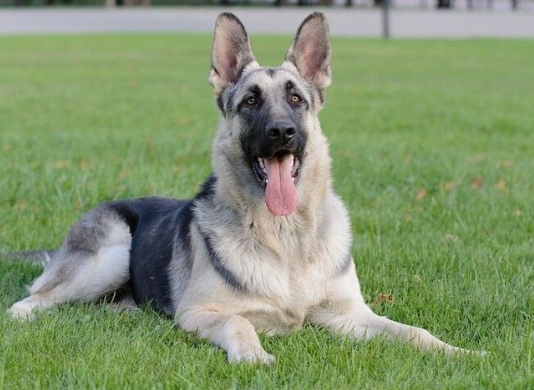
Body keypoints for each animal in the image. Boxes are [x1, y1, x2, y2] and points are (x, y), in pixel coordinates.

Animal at [6, 12, 472, 366]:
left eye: (296, 99)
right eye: (250, 101)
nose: (281, 132)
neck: (285, 238)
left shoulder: (349, 316)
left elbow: (413, 331)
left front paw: (460, 353)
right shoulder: (200, 312)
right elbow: (239, 321)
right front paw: (254, 355)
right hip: (111, 254)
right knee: (30, 300)